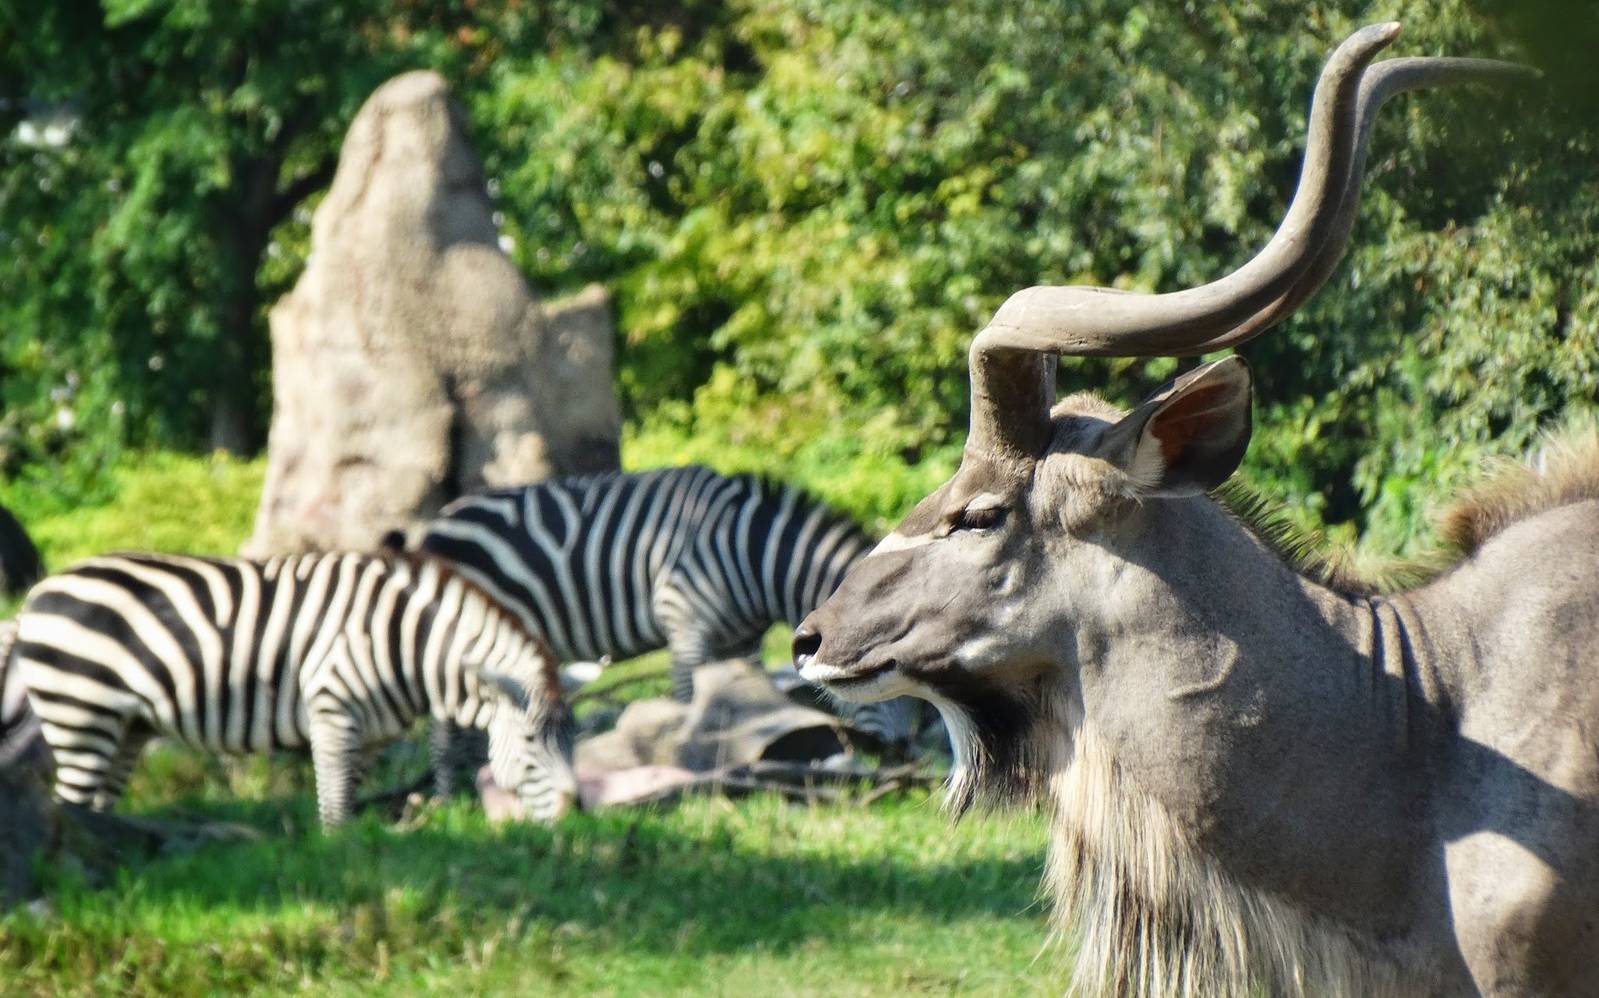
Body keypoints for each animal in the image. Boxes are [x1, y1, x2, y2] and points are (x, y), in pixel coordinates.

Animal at [13, 550, 579, 827]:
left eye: (572, 743)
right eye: (532, 743)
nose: (572, 817)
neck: (405, 643)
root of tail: (35, 595)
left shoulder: (368, 734)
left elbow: (348, 801)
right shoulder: (332, 712)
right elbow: (334, 805)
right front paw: (342, 866)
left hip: (125, 727)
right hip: (78, 714)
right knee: (69, 807)